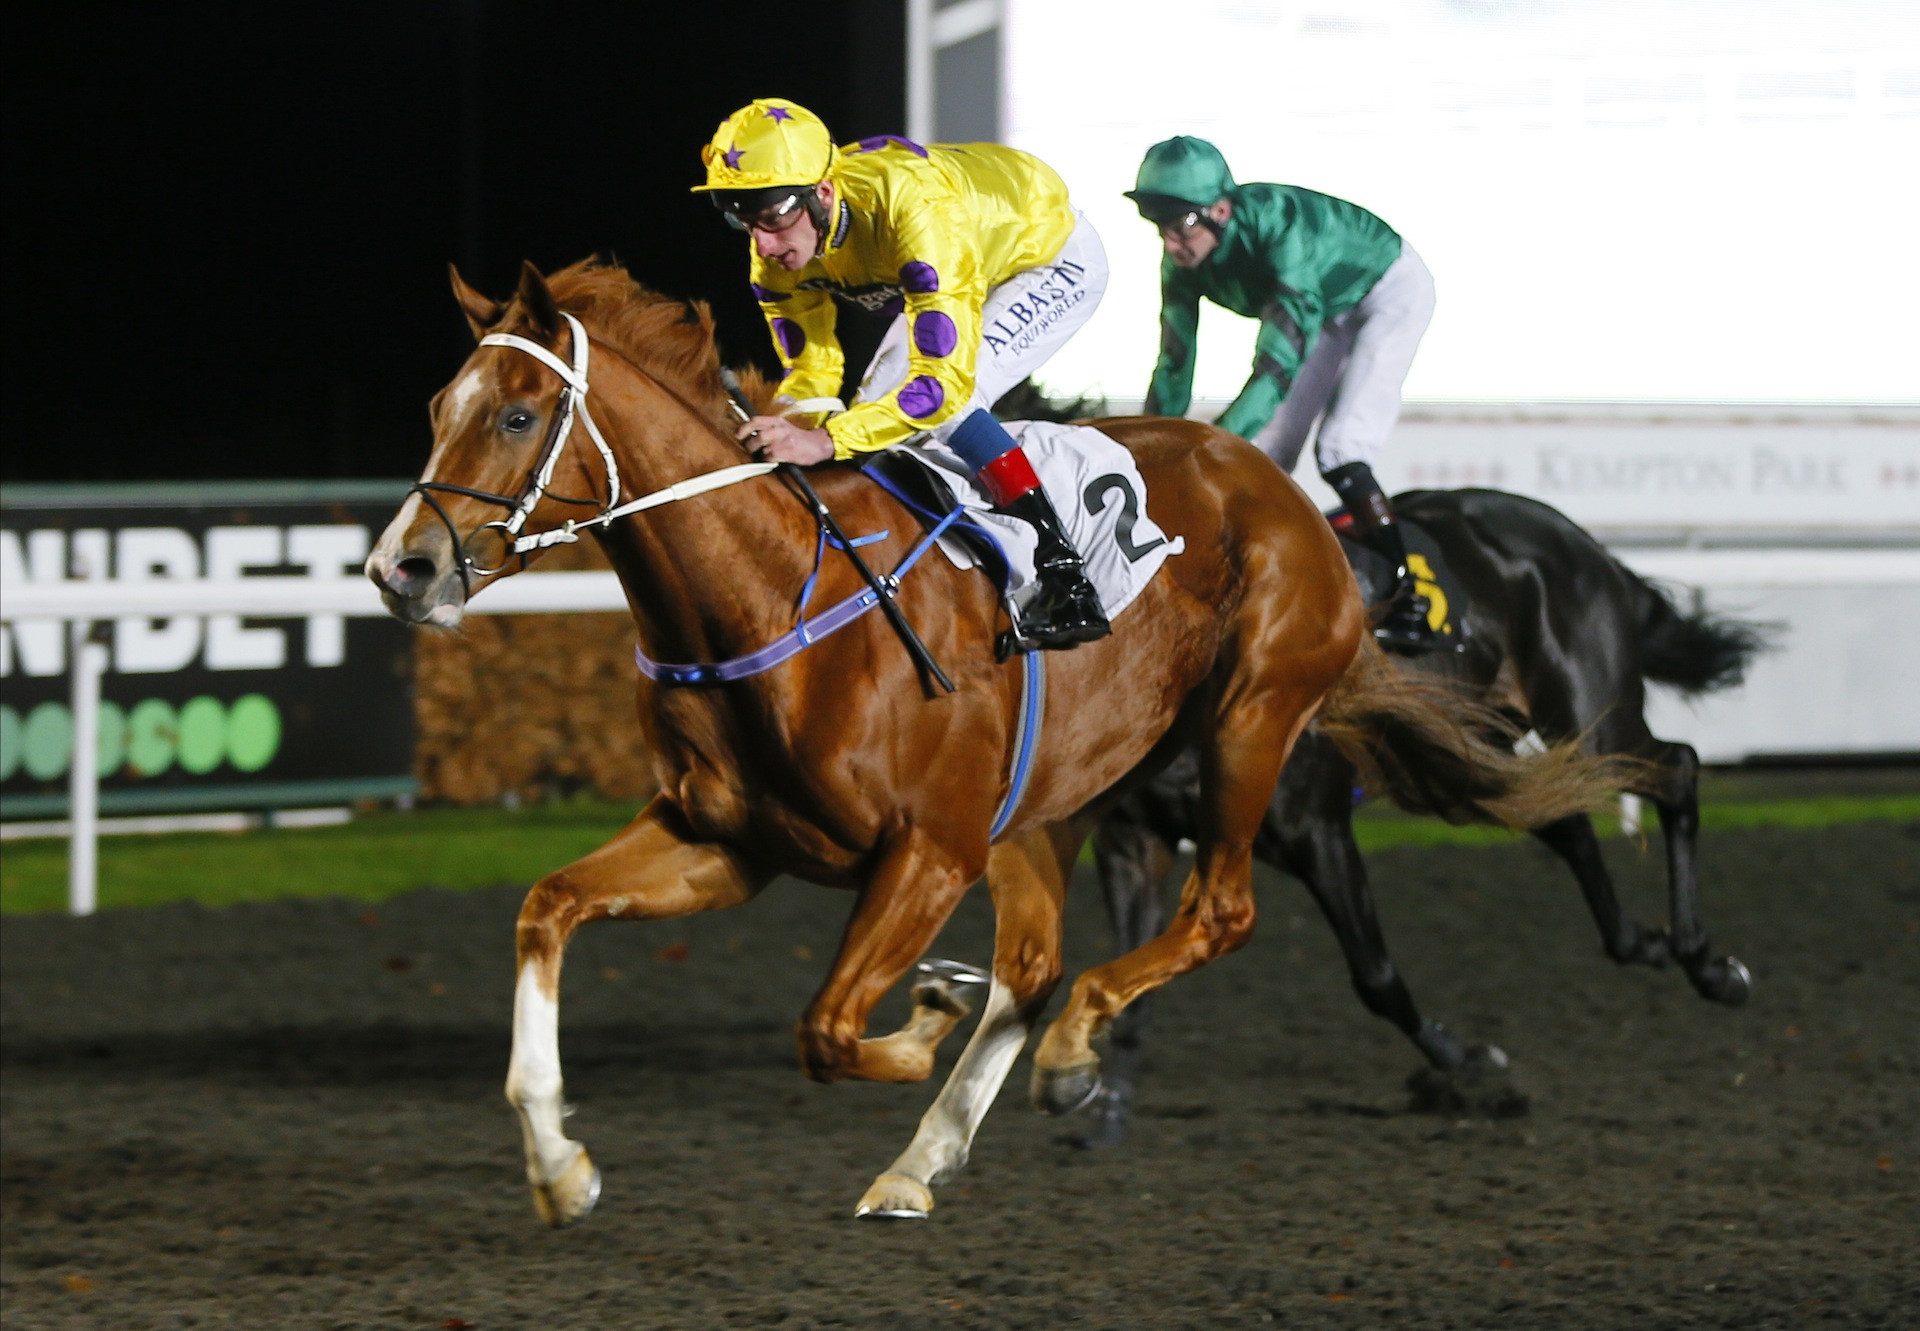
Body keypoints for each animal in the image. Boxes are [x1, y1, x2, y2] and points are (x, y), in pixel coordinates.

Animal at [366, 263, 1628, 1221]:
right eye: (436, 407)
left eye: (517, 413)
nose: (400, 567)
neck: (772, 597)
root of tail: (1282, 490)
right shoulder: (724, 841)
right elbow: (547, 909)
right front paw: (560, 1166)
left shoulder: (930, 849)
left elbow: (829, 1025)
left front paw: (929, 1011)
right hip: (1058, 799)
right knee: (1034, 963)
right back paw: (927, 1154)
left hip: (1251, 722)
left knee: (1211, 913)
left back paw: (1066, 1057)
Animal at [1082, 485, 1766, 1144]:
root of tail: (1586, 546)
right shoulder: (1132, 843)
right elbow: (1129, 982)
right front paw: (1104, 1109)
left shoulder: (1317, 831)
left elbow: (1375, 976)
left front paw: (1467, 1057)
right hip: (1475, 752)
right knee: (1571, 825)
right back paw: (1643, 943)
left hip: (1589, 722)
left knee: (1676, 770)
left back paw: (1710, 965)